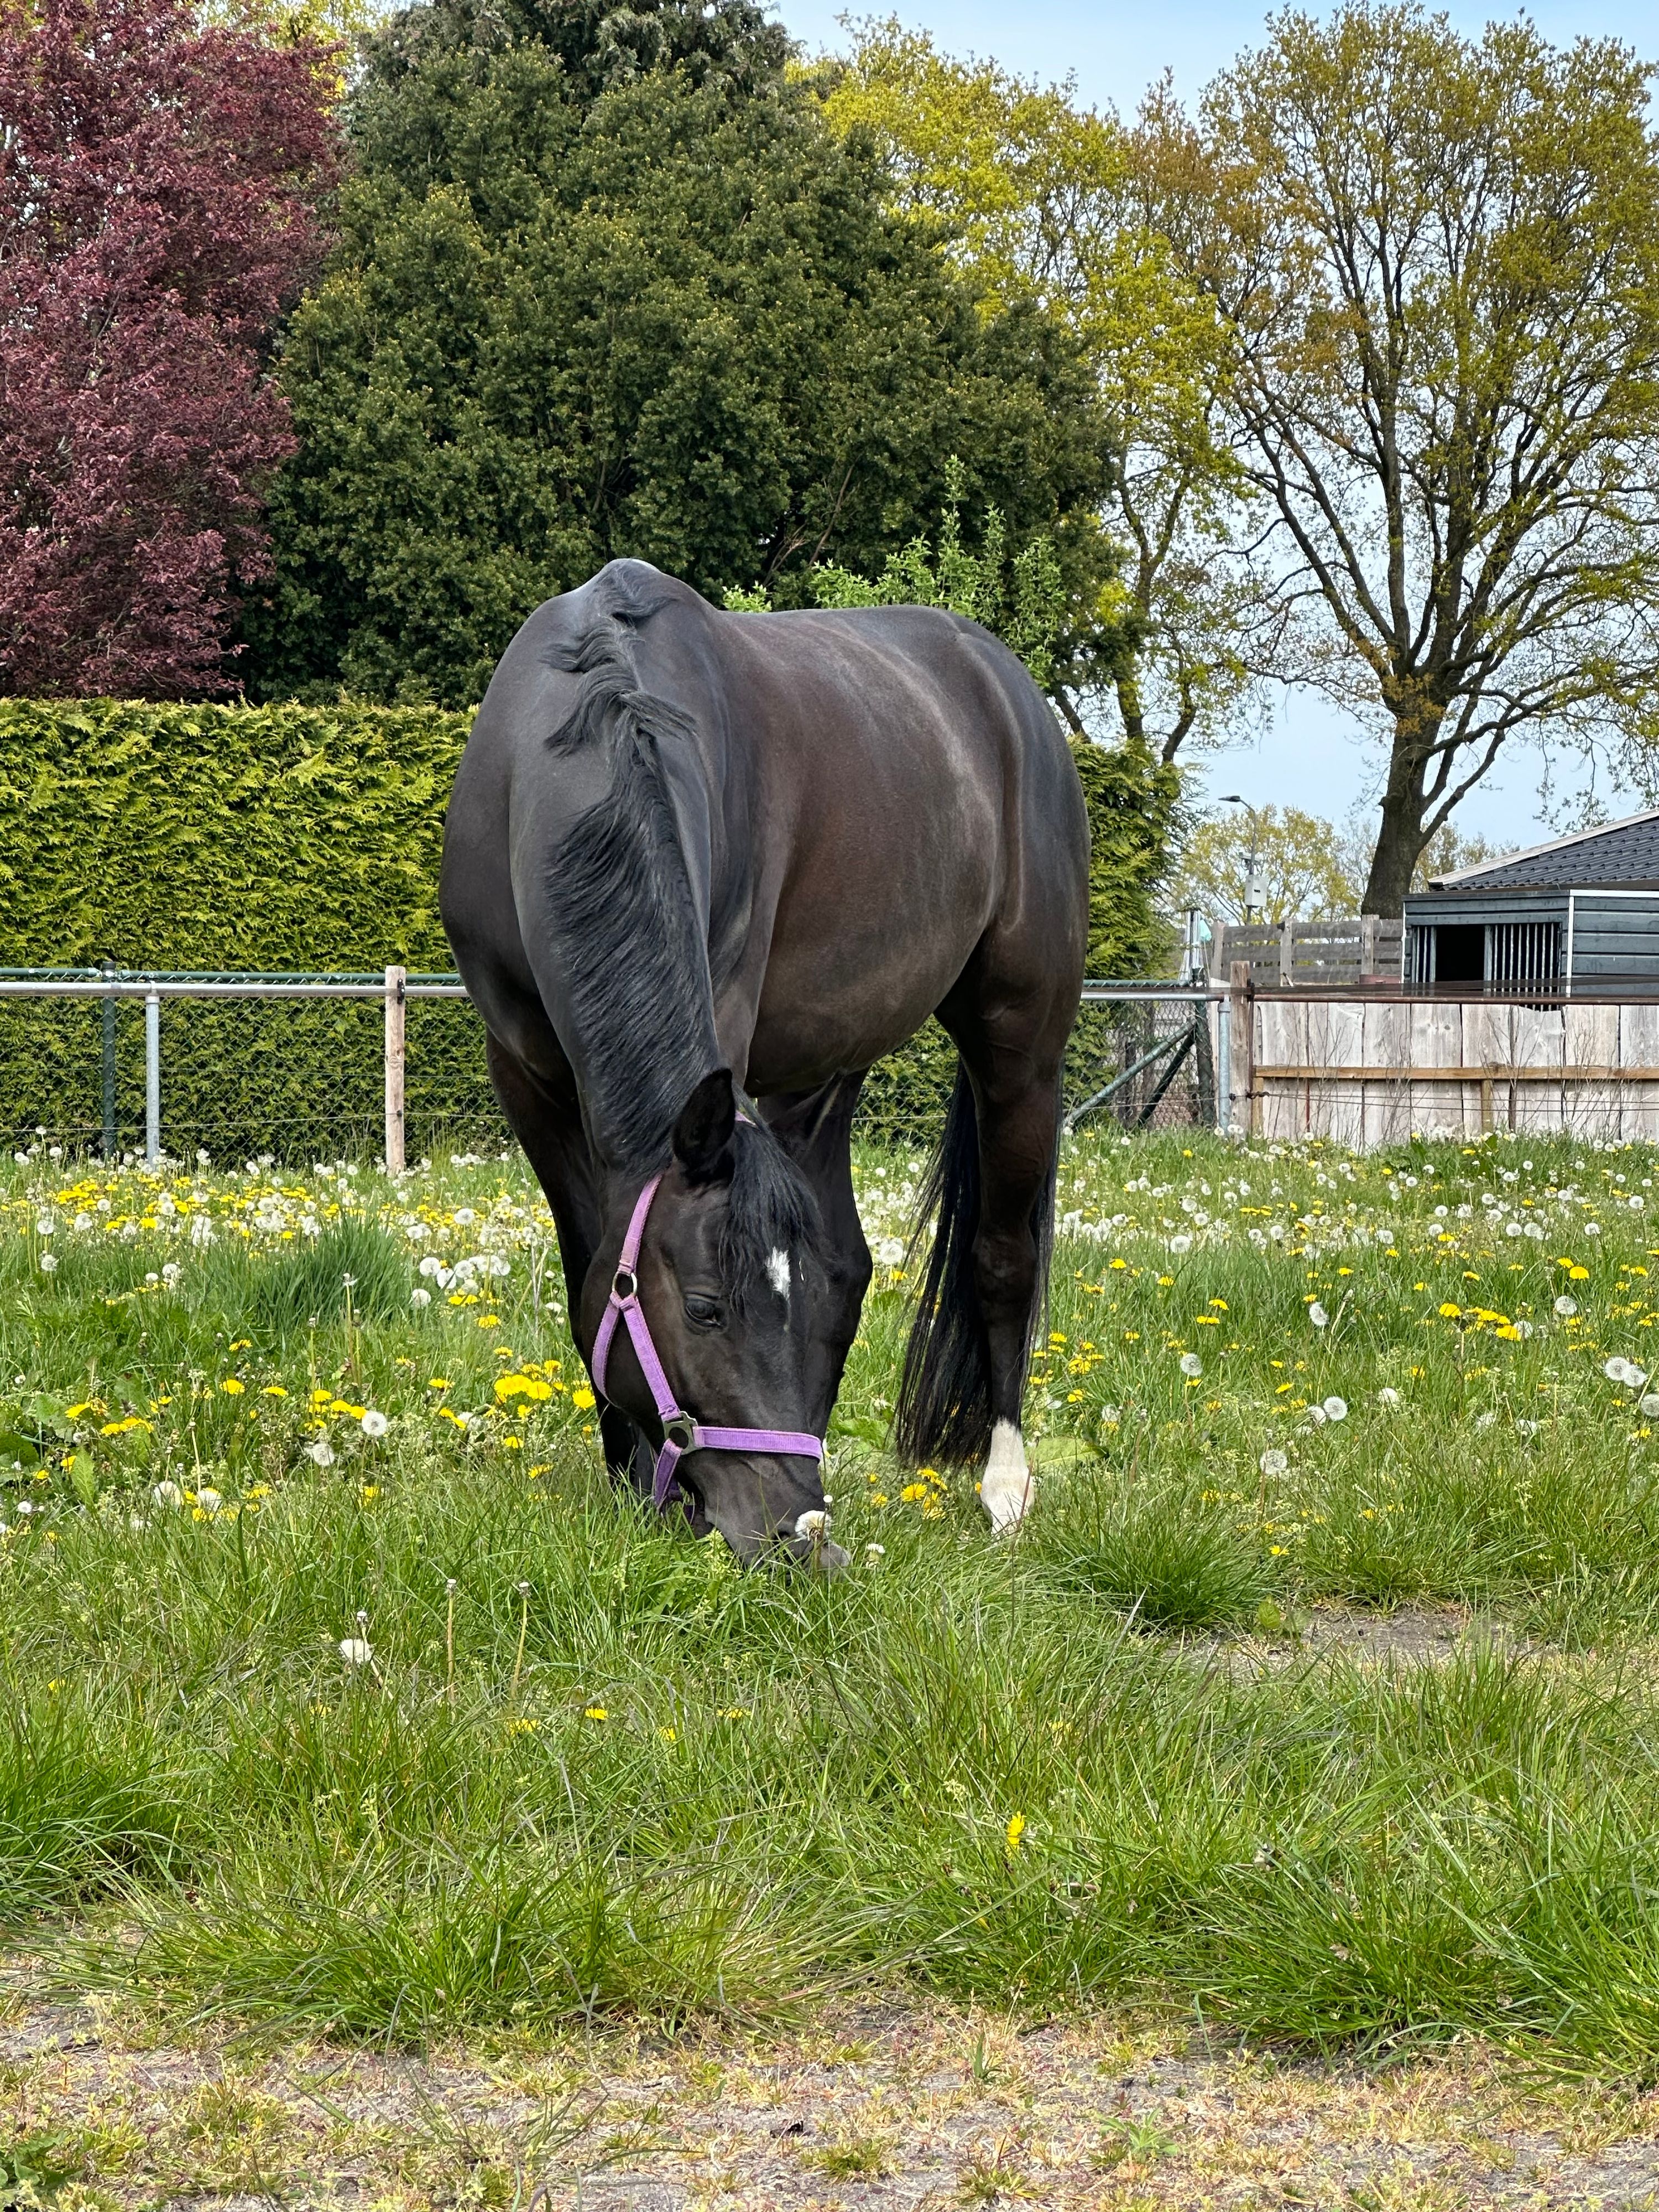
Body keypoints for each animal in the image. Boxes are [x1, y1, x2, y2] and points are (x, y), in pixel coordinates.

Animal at [439, 558, 1087, 1567]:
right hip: (825, 1064)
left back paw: (1005, 1486)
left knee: (1003, 1257)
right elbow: (588, 1264)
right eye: (707, 1308)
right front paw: (632, 1480)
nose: (796, 1534)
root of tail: (1006, 683)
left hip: (1021, 1048)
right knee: (855, 1259)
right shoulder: (524, 1075)